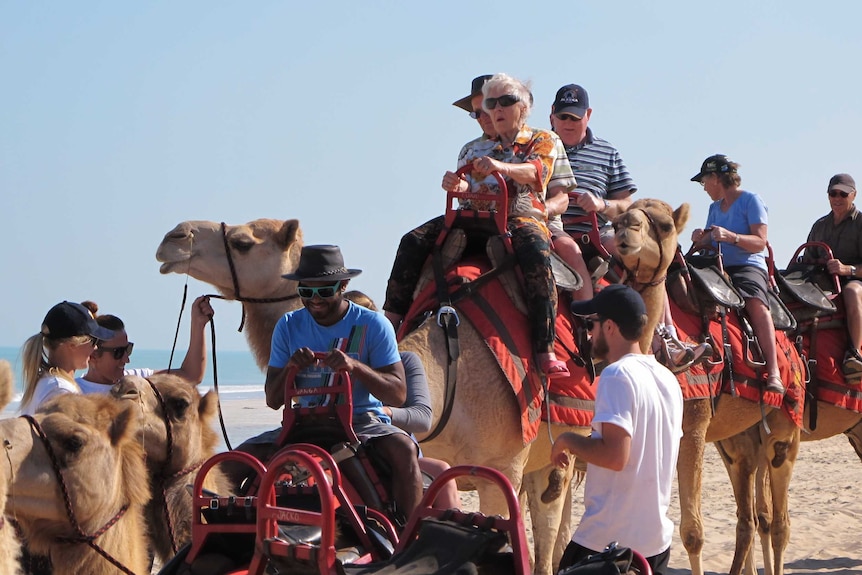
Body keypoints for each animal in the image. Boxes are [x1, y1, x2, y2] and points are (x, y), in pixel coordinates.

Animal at [616, 199, 804, 575]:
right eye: (616, 217)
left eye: (664, 225)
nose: (624, 227)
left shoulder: (692, 427)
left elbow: (692, 533)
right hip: (738, 442)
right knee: (749, 518)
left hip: (785, 430)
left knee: (779, 523)